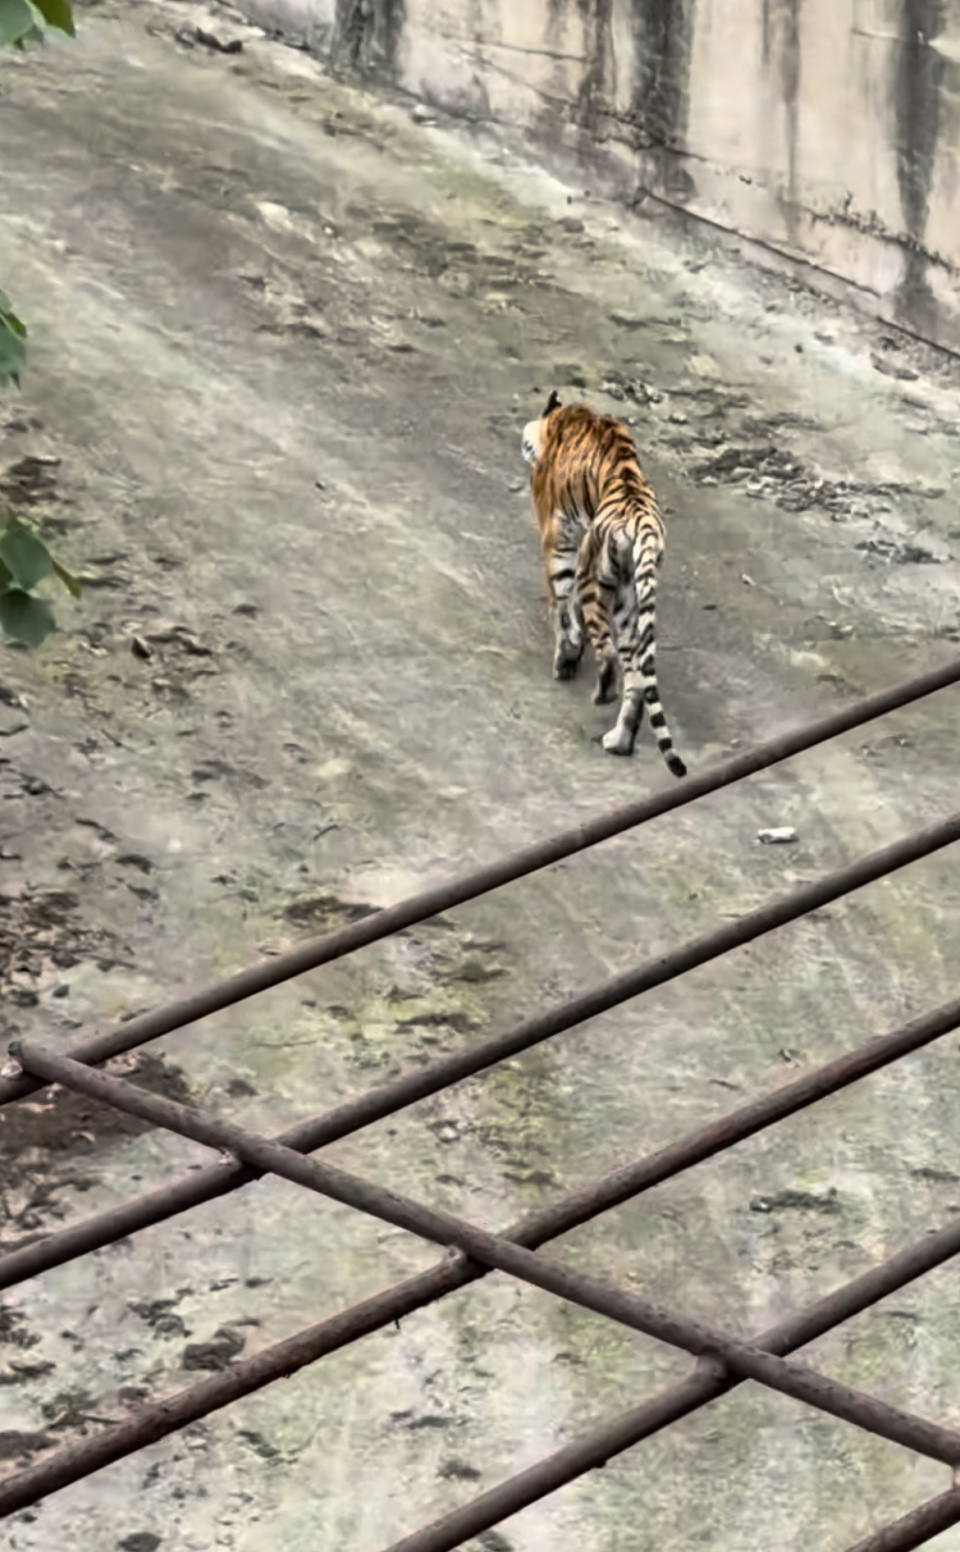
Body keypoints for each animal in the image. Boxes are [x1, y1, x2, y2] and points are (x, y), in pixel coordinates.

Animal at [520, 391, 686, 777]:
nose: (523, 444)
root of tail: (641, 521)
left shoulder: (559, 540)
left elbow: (561, 604)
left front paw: (565, 658)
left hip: (596, 579)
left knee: (609, 655)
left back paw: (600, 695)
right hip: (629, 601)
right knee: (637, 679)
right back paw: (619, 741)